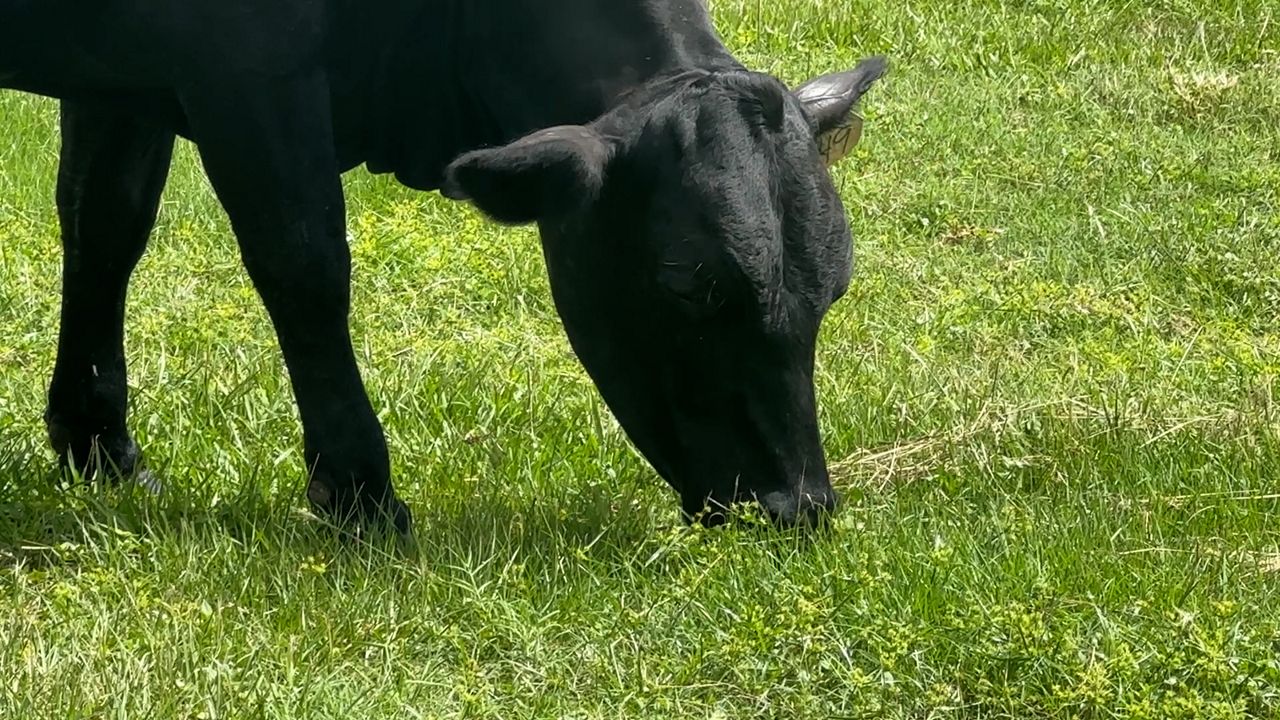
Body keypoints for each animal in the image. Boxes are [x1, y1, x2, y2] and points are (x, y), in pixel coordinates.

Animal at [0, 0, 887, 536]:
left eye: (832, 289)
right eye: (687, 285)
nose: (797, 507)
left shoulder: (121, 73)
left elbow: (104, 227)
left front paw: (101, 451)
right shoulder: (245, 68)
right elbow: (305, 262)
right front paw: (359, 495)